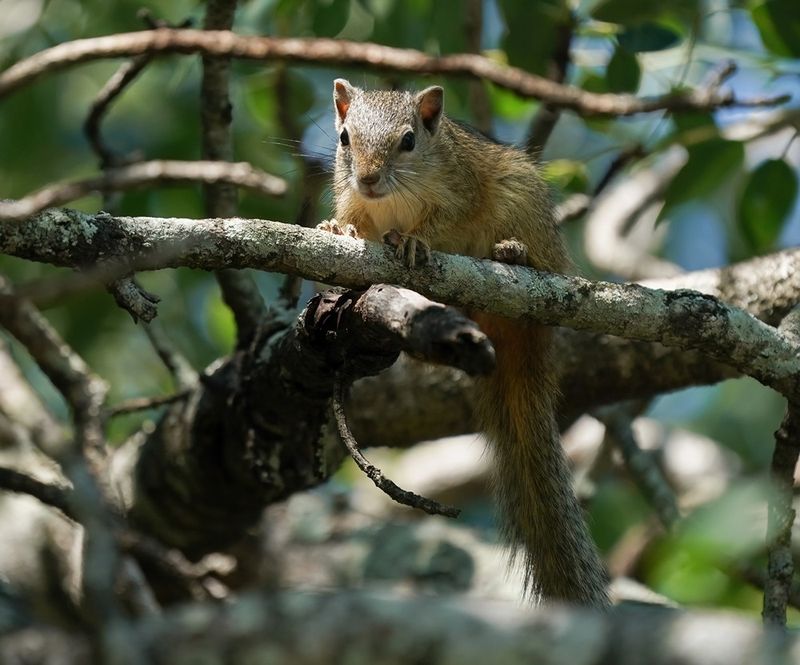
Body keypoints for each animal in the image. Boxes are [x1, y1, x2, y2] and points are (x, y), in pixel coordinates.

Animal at [319, 79, 610, 607]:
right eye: (345, 138)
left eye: (409, 140)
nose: (368, 179)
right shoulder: (351, 197)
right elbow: (351, 220)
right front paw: (336, 228)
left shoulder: (462, 189)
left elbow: (446, 222)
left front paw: (415, 241)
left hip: (524, 203)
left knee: (542, 263)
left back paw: (515, 255)